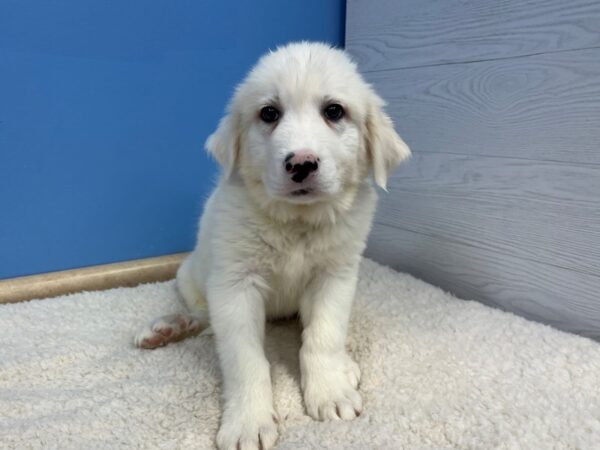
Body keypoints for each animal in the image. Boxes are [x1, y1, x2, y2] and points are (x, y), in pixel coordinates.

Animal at [134, 42, 410, 450]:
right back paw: (169, 327)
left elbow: (323, 336)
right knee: (204, 318)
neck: (296, 222)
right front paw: (249, 421)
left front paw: (330, 391)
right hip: (193, 276)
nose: (301, 163)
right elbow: (245, 359)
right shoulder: (236, 285)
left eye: (334, 111)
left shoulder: (335, 276)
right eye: (269, 113)